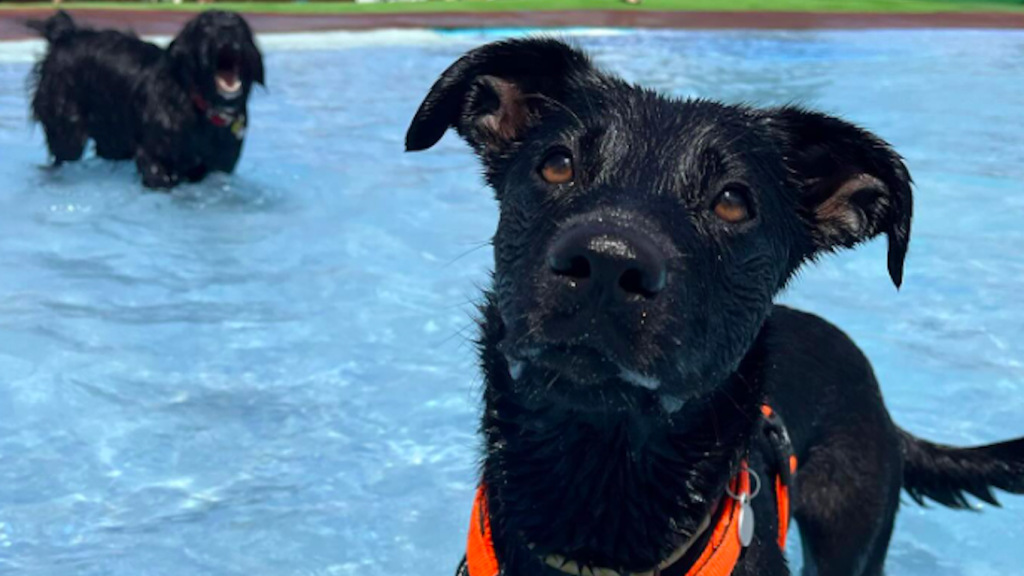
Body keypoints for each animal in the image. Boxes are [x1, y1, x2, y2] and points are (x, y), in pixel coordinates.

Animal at [30, 9, 266, 188]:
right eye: (205, 26)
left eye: (241, 26)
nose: (228, 27)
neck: (199, 107)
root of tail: (65, 37)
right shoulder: (155, 157)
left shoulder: (221, 165)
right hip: (66, 128)